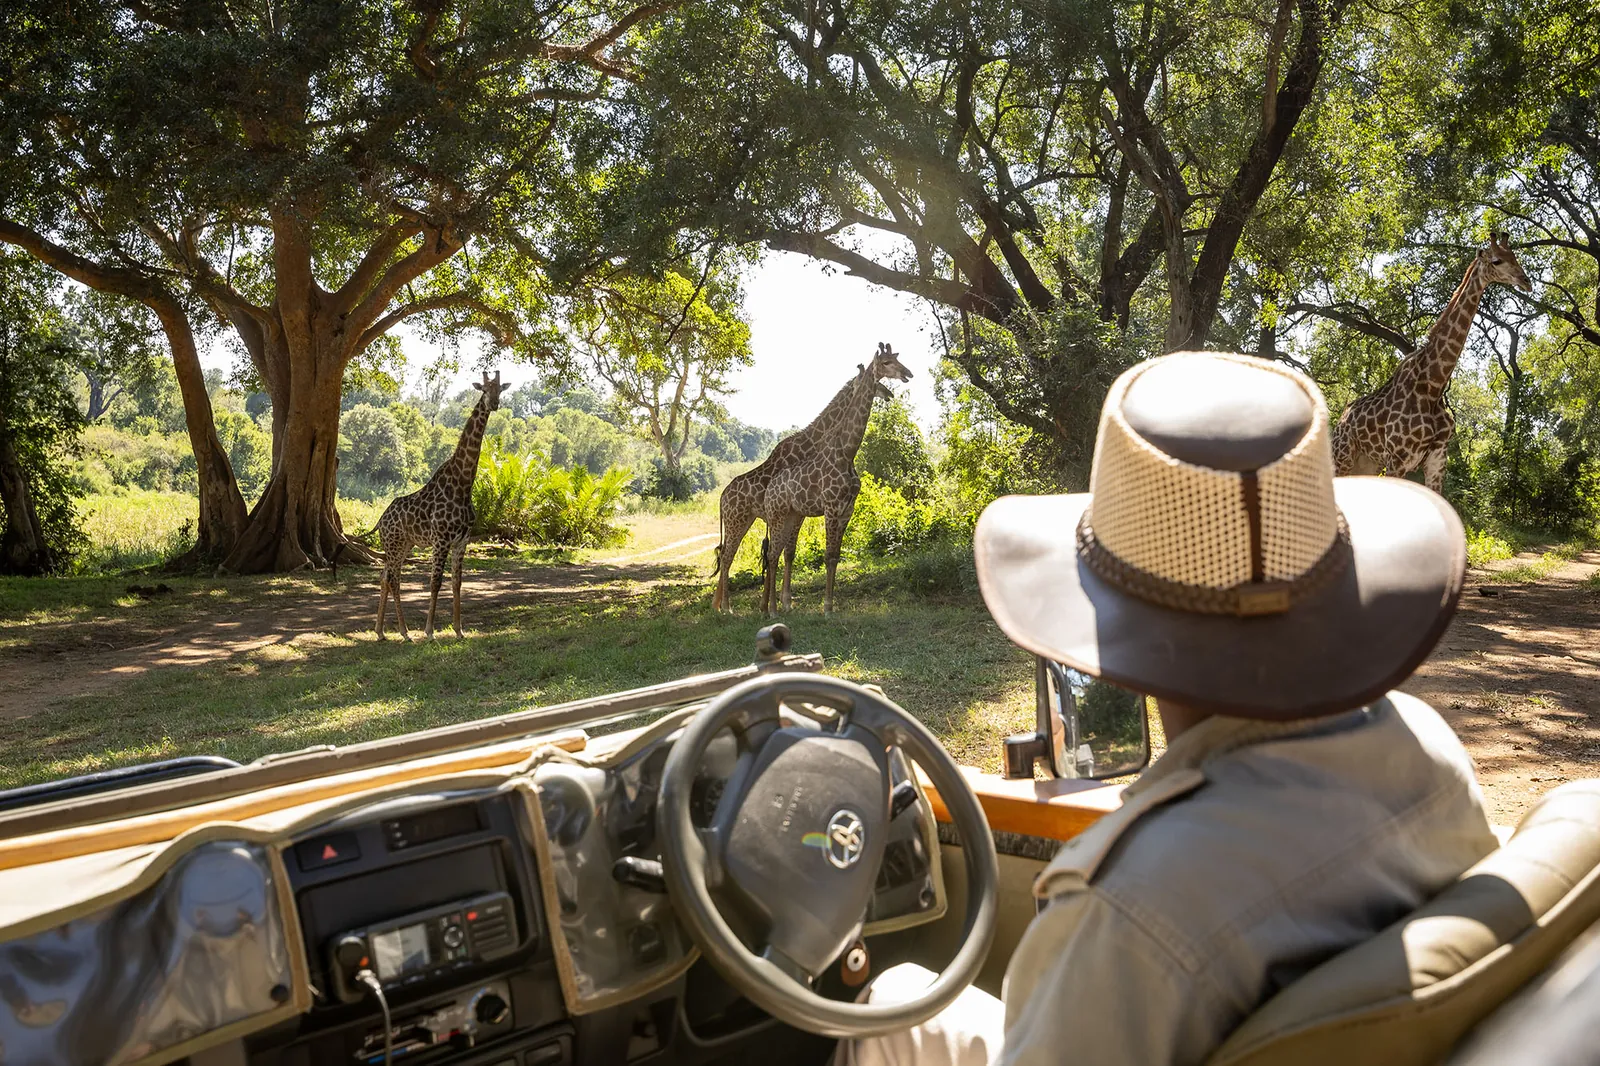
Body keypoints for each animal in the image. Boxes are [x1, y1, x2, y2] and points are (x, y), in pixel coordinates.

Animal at [375, 370, 503, 640]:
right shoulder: (441, 540)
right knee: (393, 579)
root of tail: (381, 520)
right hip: (393, 545)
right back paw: (403, 632)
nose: (495, 403)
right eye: (484, 389)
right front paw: (430, 631)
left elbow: (457, 583)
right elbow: (435, 583)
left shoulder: (462, 541)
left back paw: (384, 632)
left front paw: (459, 630)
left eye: (500, 389)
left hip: (404, 545)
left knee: (386, 577)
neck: (463, 484)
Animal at [711, 343, 913, 615]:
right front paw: (791, 604)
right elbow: (796, 554)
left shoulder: (821, 511)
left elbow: (800, 554)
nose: (907, 375)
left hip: (750, 519)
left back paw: (724, 605)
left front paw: (781, 603)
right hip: (740, 519)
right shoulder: (817, 509)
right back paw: (727, 607)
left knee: (731, 554)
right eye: (887, 363)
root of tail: (722, 496)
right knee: (728, 556)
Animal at [1331, 233, 1531, 494]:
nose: (1526, 281)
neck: (1433, 385)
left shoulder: (1437, 461)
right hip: (1343, 458)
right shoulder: (1398, 460)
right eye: (1497, 260)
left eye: (1515, 256)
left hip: (1366, 464)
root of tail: (1339, 422)